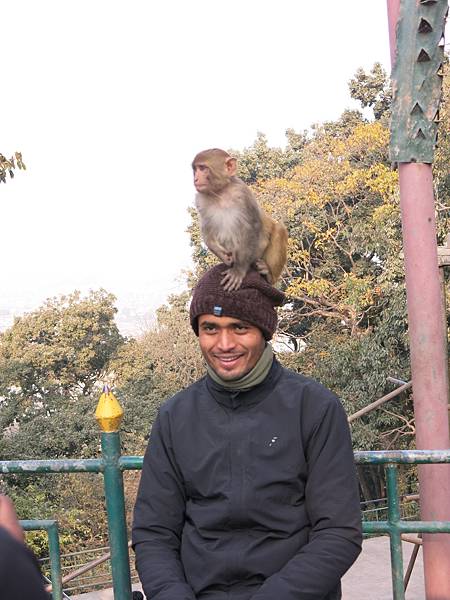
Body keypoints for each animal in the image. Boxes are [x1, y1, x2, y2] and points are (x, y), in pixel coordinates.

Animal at [192, 149, 286, 292]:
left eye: (202, 168)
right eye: (195, 169)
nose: (195, 179)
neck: (221, 193)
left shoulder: (243, 193)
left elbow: (252, 227)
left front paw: (238, 270)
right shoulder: (200, 201)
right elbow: (207, 228)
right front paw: (220, 253)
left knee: (279, 230)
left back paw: (269, 274)